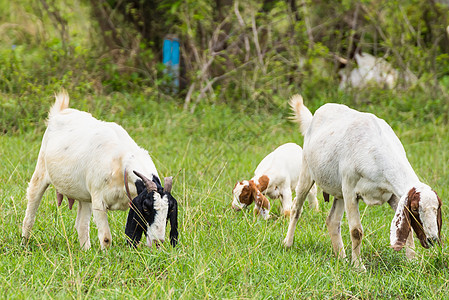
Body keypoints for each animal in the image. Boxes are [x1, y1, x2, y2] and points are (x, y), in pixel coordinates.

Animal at [21, 90, 178, 250]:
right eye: (146, 208)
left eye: (169, 210)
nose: (158, 242)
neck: (120, 162)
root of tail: (60, 112)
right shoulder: (98, 200)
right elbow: (106, 238)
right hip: (40, 172)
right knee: (30, 213)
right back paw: (24, 243)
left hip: (85, 195)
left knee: (81, 225)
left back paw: (86, 250)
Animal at [284, 95, 440, 270]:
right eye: (414, 208)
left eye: (437, 209)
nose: (432, 239)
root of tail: (314, 116)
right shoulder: (350, 191)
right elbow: (356, 231)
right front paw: (359, 267)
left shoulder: (392, 194)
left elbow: (406, 228)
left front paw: (412, 261)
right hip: (307, 171)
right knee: (296, 207)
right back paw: (288, 243)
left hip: (339, 190)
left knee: (332, 221)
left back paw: (342, 257)